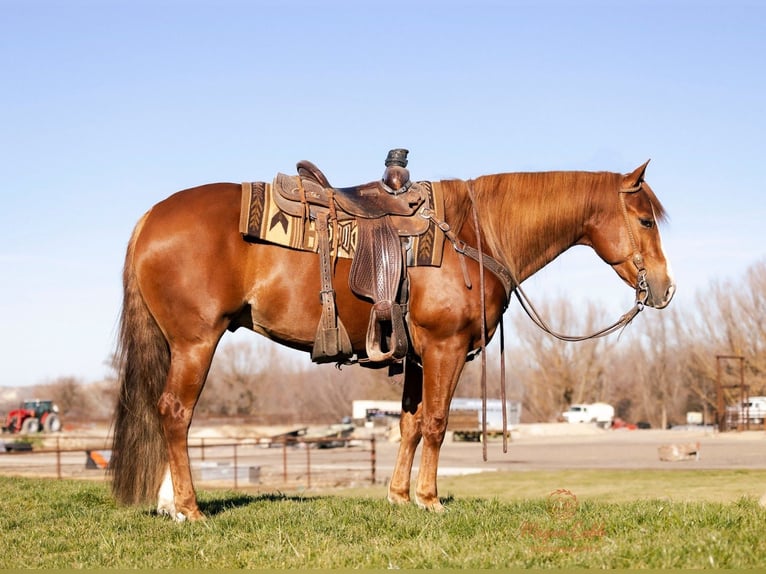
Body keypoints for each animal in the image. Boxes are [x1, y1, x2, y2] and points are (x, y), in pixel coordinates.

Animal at [110, 160, 675, 521]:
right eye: (645, 219)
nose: (666, 289)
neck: (474, 234)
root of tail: (150, 218)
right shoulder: (446, 348)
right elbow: (437, 423)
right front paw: (430, 499)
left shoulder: (419, 357)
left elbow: (409, 425)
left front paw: (400, 497)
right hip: (196, 342)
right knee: (175, 413)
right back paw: (188, 509)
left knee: (170, 413)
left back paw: (168, 503)